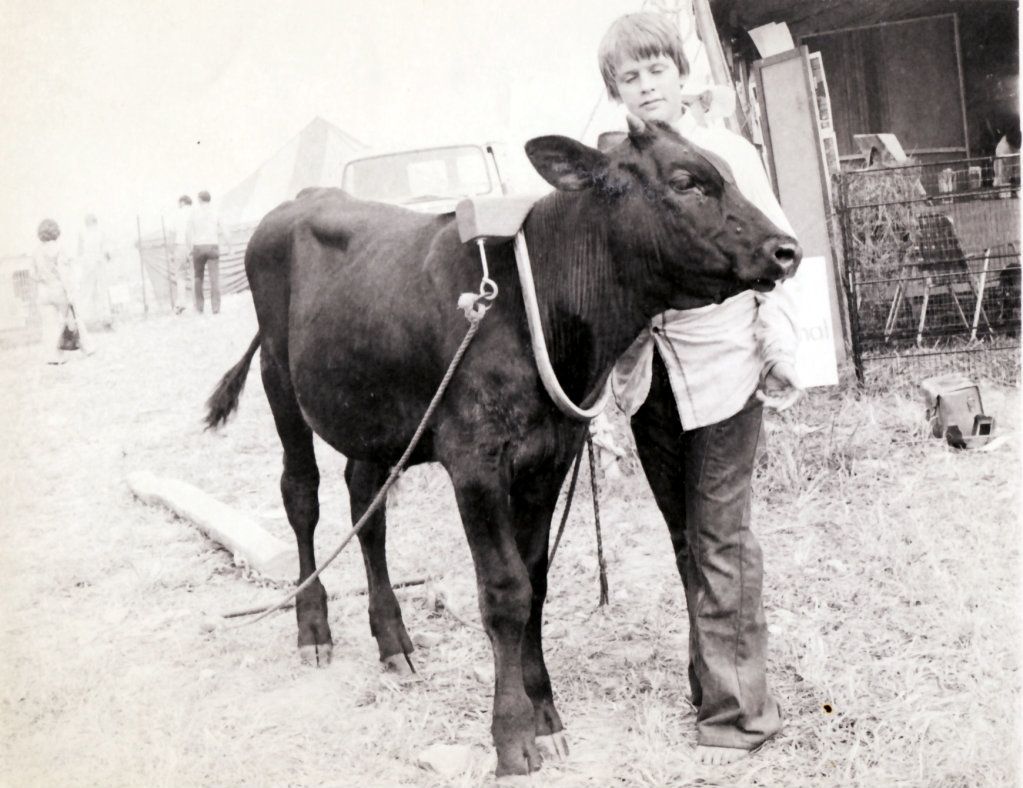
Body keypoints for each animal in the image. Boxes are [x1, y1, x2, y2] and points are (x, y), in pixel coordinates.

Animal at [205, 117, 801, 777]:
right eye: (686, 182)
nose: (786, 249)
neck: (538, 306)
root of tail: (300, 200)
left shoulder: (549, 457)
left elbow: (533, 581)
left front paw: (545, 715)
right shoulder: (476, 463)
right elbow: (504, 591)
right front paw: (512, 734)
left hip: (377, 418)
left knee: (367, 507)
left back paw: (393, 640)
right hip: (280, 382)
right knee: (301, 497)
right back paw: (313, 628)